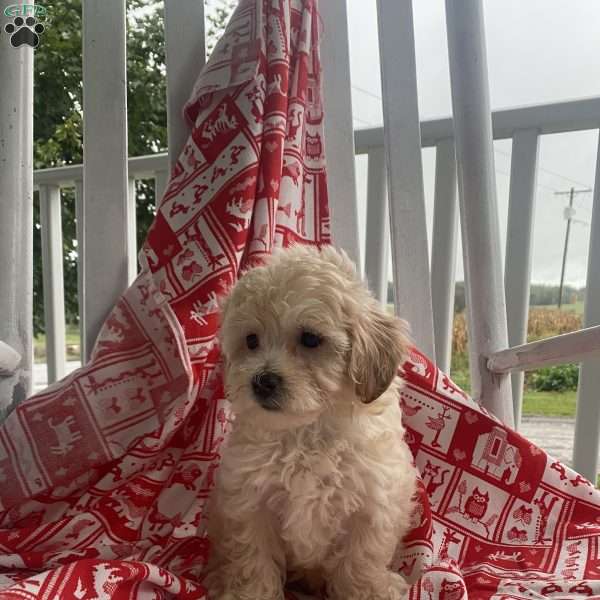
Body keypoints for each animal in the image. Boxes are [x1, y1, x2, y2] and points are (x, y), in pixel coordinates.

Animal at [206, 245, 418, 600]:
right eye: (251, 340)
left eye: (310, 339)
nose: (262, 381)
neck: (306, 431)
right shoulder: (250, 500)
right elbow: (253, 557)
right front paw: (251, 593)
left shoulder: (373, 503)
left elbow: (361, 559)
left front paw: (368, 591)